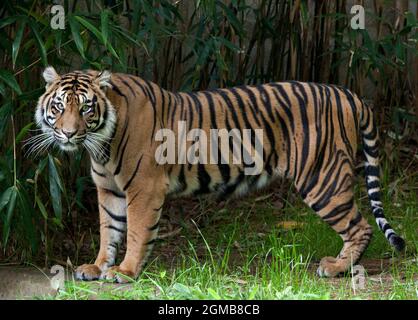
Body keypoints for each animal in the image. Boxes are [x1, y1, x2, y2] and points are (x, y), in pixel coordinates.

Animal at [34, 66, 406, 282]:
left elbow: (137, 232)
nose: (68, 133)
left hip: (322, 178)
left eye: (86, 107)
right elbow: (108, 231)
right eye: (59, 106)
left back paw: (338, 268)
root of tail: (348, 93)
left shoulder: (143, 189)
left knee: (360, 227)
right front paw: (97, 267)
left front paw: (124, 272)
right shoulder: (109, 190)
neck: (101, 143)